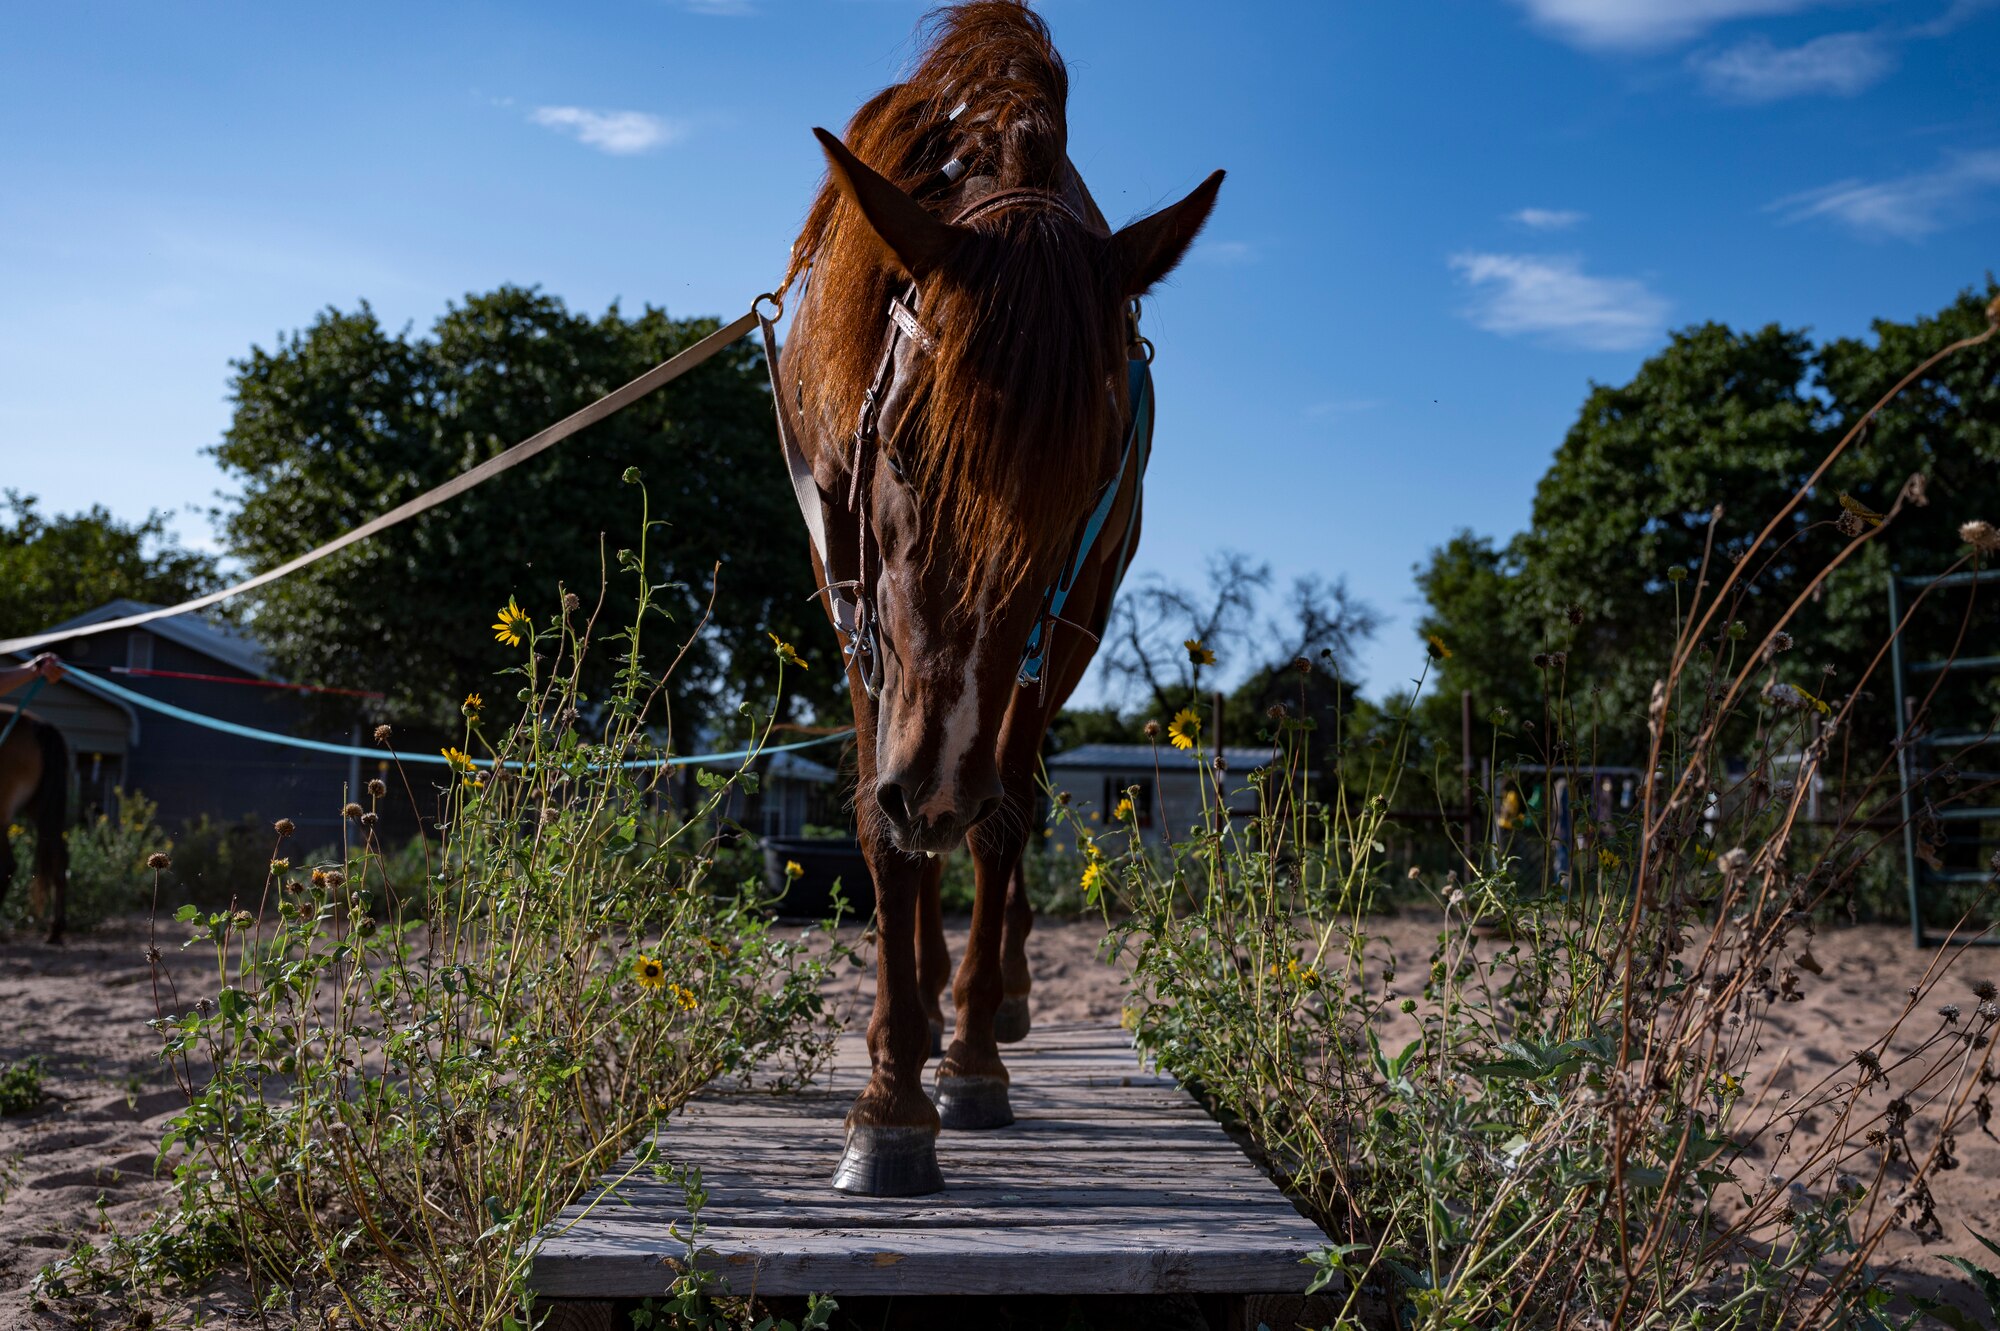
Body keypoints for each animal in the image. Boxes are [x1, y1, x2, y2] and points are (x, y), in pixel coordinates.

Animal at [772, 0, 1216, 1191]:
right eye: (905, 449)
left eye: (1084, 480)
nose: (935, 786)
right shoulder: (851, 588)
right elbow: (883, 832)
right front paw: (890, 1093)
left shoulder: (1070, 609)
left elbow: (1006, 815)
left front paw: (966, 1060)